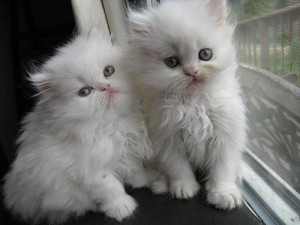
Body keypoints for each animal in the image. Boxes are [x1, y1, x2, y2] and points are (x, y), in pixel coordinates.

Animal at [3, 28, 155, 223]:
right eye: (85, 92)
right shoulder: (90, 168)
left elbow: (134, 168)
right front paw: (122, 208)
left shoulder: (129, 148)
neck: (114, 123)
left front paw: (142, 180)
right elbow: (111, 187)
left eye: (108, 71)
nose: (105, 87)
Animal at [126, 0, 246, 211]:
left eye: (205, 54)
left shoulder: (224, 135)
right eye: (172, 62)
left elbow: (222, 169)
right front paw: (184, 188)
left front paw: (223, 193)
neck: (193, 102)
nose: (192, 71)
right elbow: (178, 168)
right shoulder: (168, 139)